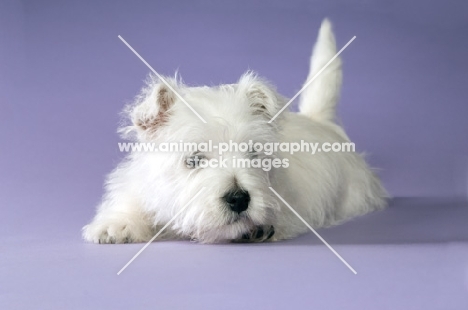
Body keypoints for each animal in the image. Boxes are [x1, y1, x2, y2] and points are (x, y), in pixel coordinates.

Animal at [82, 19, 386, 243]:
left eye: (253, 154)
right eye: (194, 160)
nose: (239, 199)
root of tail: (319, 121)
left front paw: (260, 227)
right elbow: (133, 201)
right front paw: (116, 224)